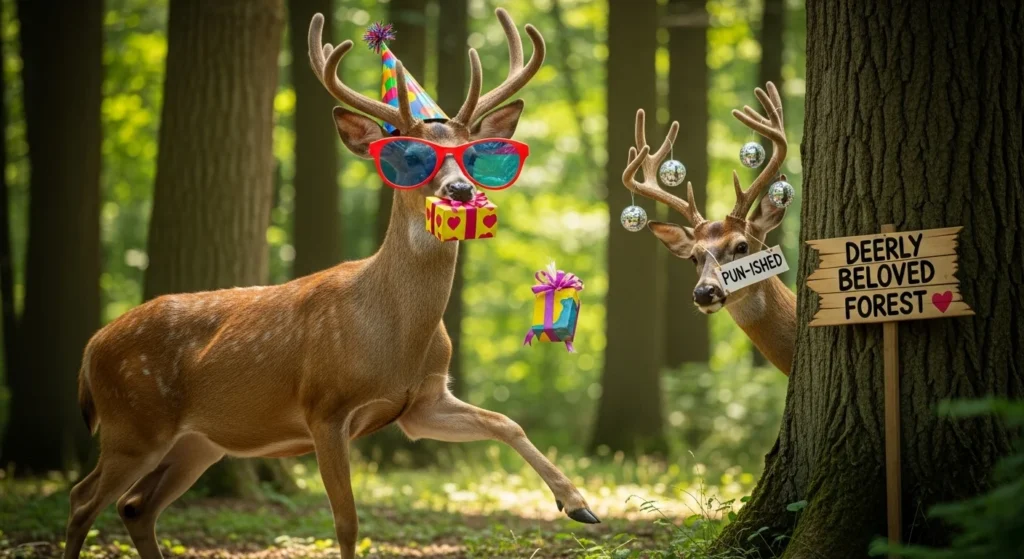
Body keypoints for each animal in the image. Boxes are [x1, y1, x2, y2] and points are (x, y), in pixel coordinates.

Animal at [62, 9, 598, 559]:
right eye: (408, 158)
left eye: (473, 155)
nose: (460, 190)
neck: (395, 340)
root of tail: (90, 348)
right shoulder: (324, 408)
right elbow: (346, 520)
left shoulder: (421, 403)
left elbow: (505, 421)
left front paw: (578, 504)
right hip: (133, 423)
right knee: (83, 498)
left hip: (198, 442)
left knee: (134, 505)